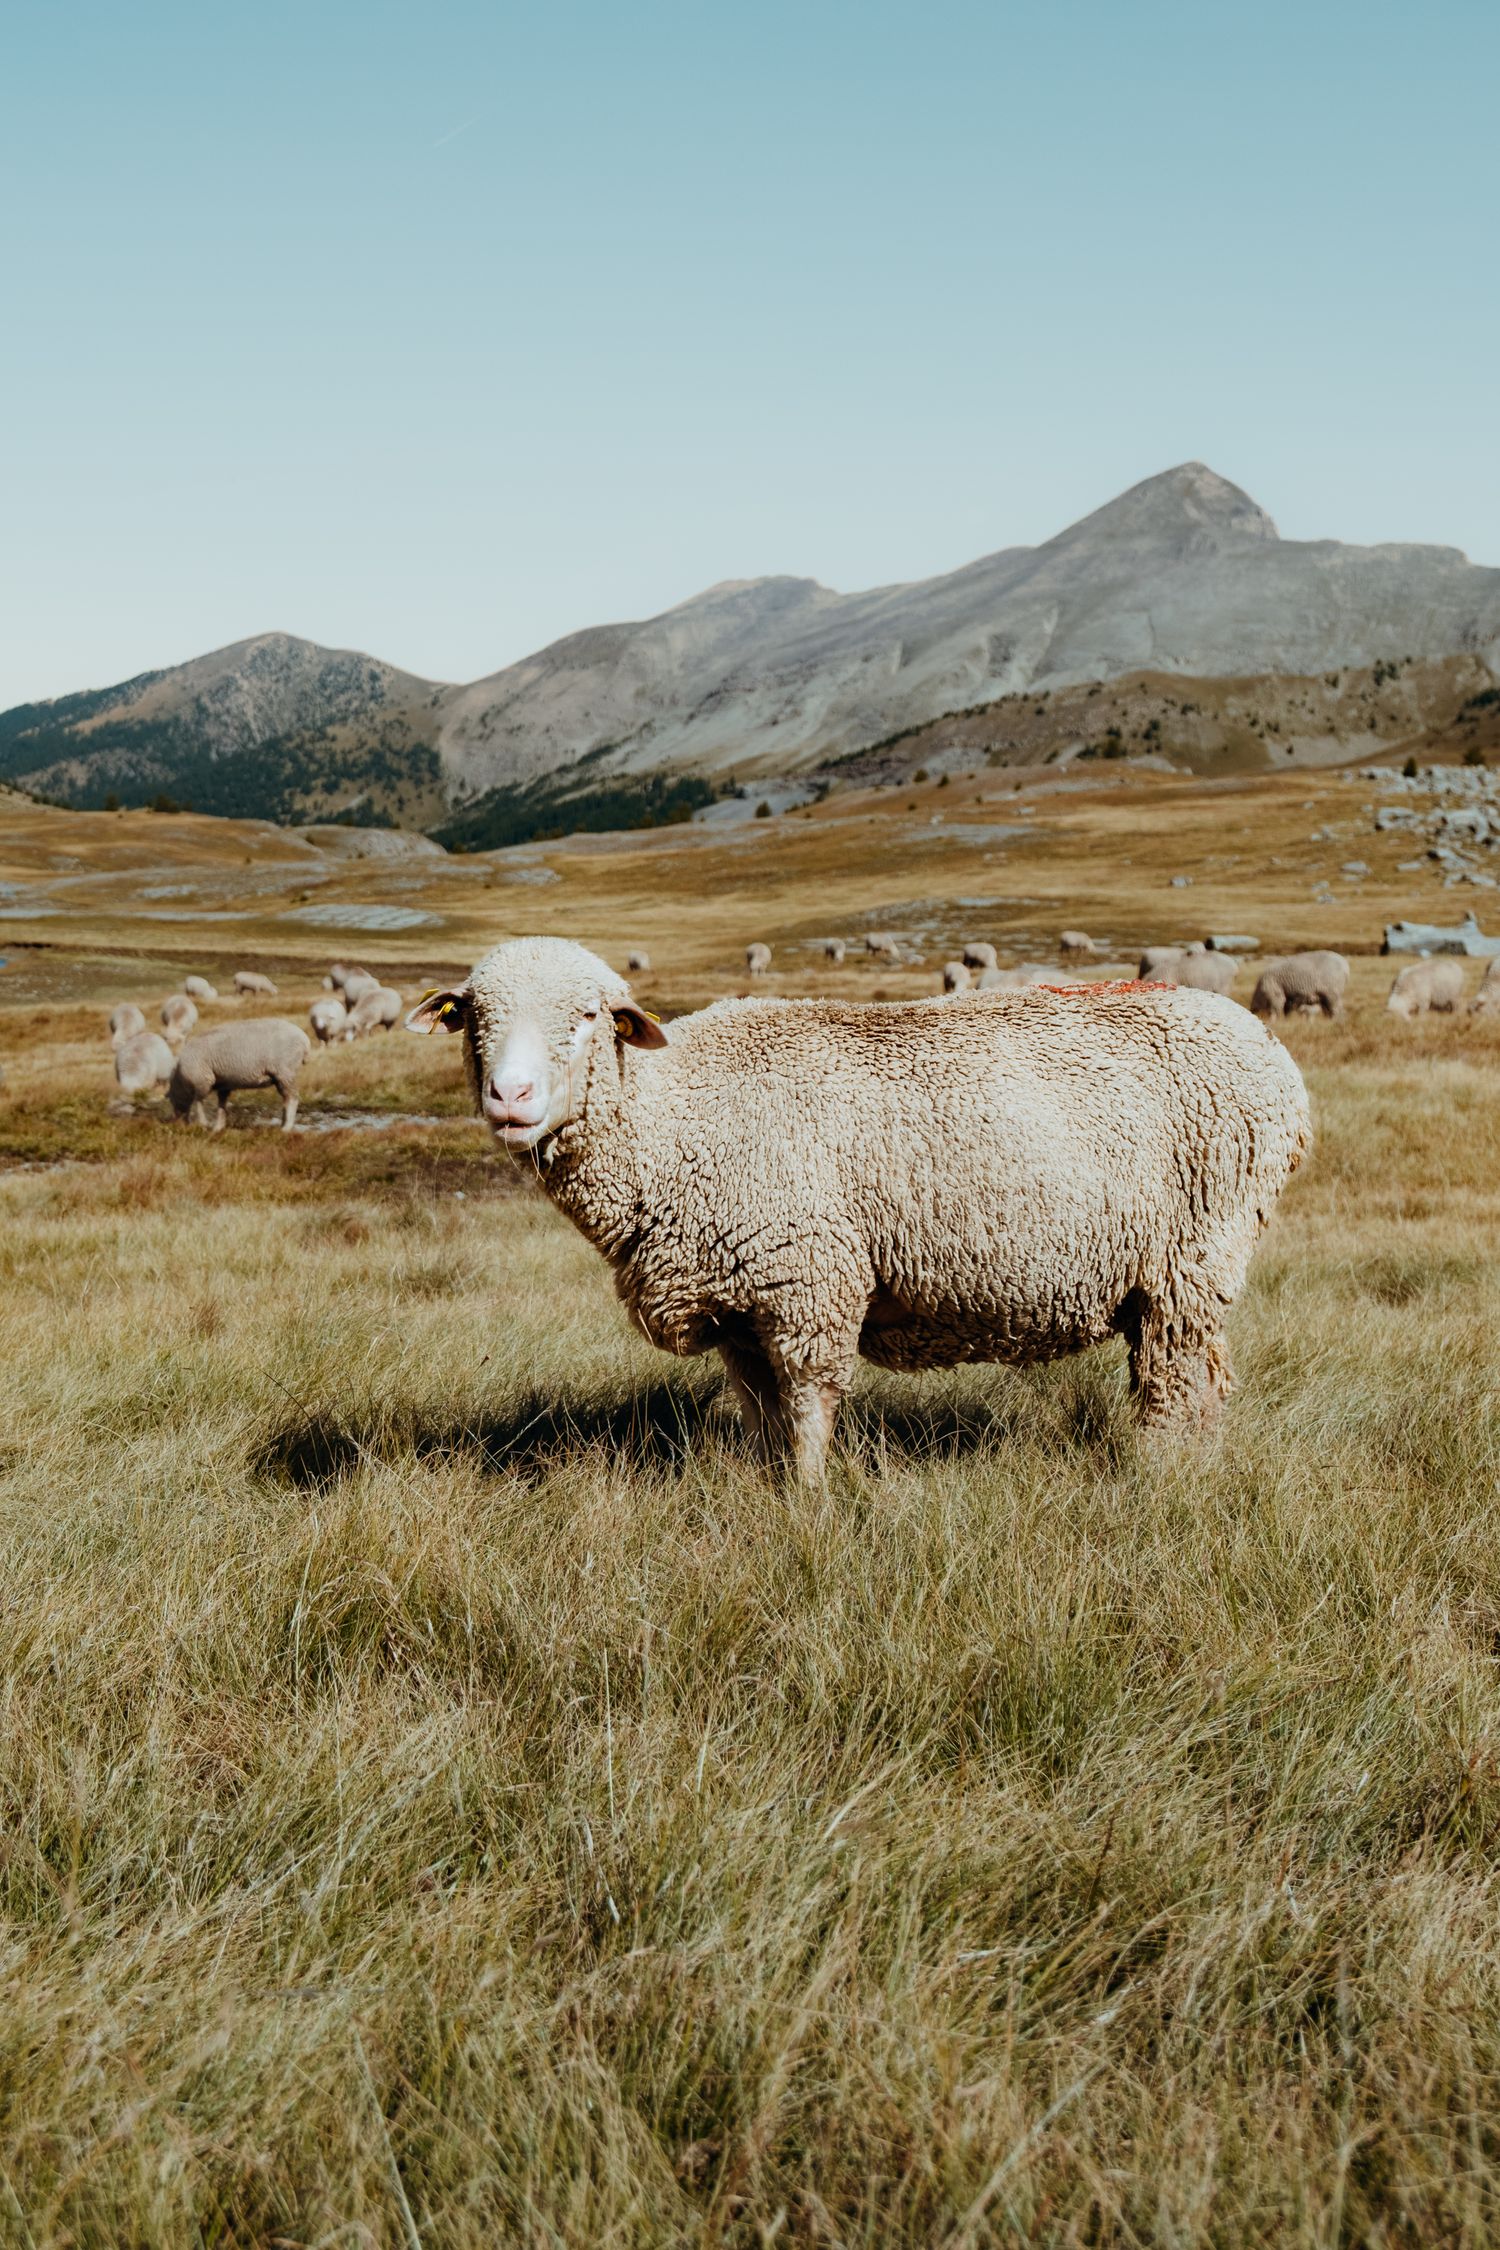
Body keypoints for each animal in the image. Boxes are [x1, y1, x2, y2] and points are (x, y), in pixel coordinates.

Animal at [169, 1019, 311, 1132]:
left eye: (172, 1099)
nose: (177, 1124)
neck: (181, 1079)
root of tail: (304, 1039)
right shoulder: (223, 1085)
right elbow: (221, 1106)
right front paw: (218, 1127)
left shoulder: (203, 1079)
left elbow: (198, 1101)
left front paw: (204, 1123)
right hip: (282, 1076)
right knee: (286, 1099)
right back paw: (283, 1124)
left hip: (285, 1072)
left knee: (292, 1099)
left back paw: (287, 1127)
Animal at [409, 936, 1309, 1481]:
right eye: (473, 1017)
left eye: (590, 1016)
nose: (510, 1097)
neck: (672, 1118)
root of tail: (1273, 1057)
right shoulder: (740, 1305)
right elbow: (763, 1415)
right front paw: (769, 1498)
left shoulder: (809, 1279)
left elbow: (808, 1409)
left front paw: (810, 1510)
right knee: (1200, 1381)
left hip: (1192, 1255)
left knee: (1175, 1383)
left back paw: (1160, 1477)